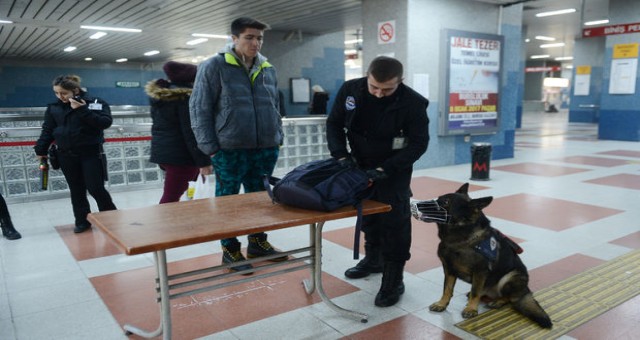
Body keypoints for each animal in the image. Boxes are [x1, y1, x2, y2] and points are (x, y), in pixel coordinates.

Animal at [412, 185, 552, 328]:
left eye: (446, 202)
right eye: (438, 198)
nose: (417, 204)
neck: (460, 238)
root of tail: (525, 290)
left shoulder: (480, 271)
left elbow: (475, 292)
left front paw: (471, 309)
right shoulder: (449, 270)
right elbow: (447, 289)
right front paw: (442, 304)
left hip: (509, 277)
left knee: (509, 297)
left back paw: (498, 301)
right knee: (482, 291)